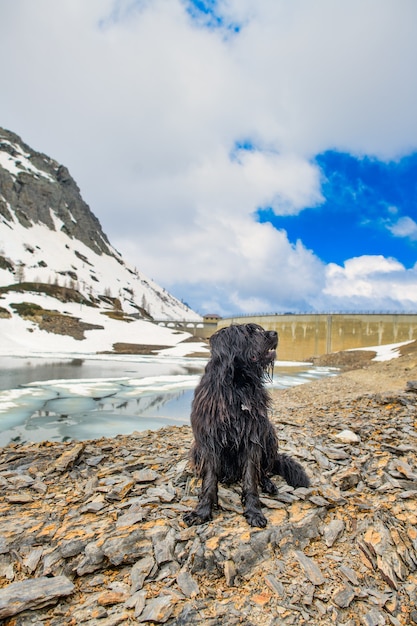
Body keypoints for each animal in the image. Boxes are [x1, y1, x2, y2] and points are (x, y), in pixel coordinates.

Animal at [183, 322, 308, 528]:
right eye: (248, 334)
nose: (275, 333)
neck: (238, 386)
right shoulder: (209, 440)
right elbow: (209, 480)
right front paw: (202, 511)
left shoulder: (252, 438)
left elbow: (250, 478)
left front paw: (254, 511)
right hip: (196, 449)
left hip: (269, 434)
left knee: (263, 470)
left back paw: (268, 484)